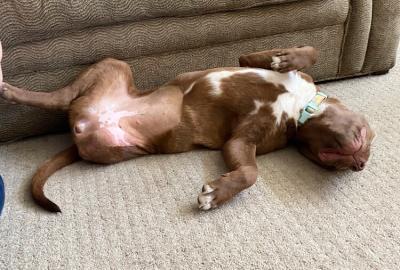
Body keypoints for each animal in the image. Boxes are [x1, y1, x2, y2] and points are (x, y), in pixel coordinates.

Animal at [0, 43, 376, 213]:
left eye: (343, 167)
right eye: (367, 135)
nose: (359, 165)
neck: (301, 107)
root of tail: (84, 123)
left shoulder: (241, 140)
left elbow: (250, 173)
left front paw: (215, 194)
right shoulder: (249, 61)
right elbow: (308, 52)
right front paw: (287, 58)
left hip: (111, 142)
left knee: (61, 103)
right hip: (113, 65)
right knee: (55, 98)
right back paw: (9, 88)